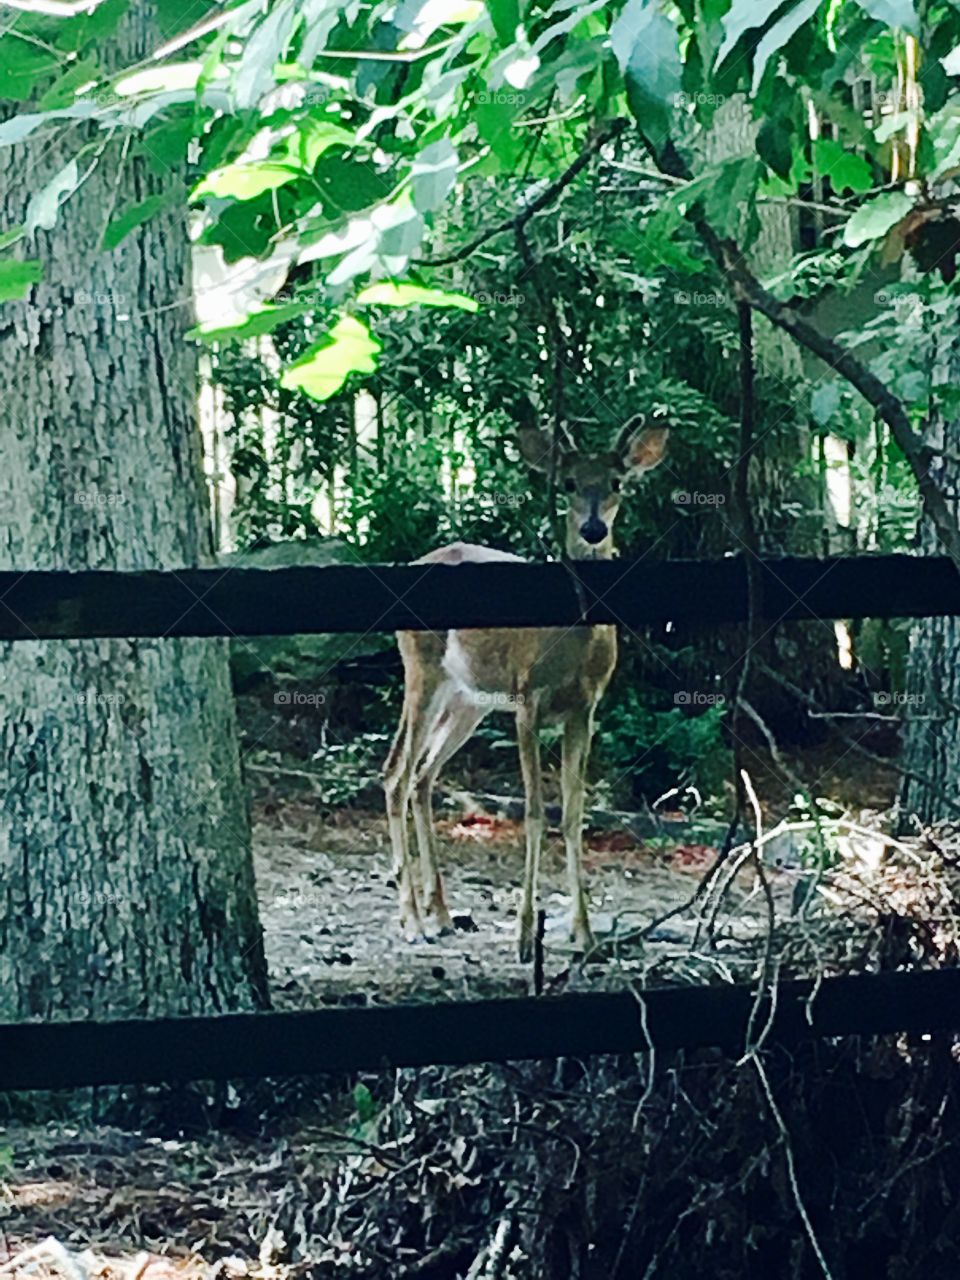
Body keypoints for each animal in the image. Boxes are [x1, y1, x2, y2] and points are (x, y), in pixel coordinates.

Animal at [383, 416, 669, 961]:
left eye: (618, 483)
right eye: (569, 484)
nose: (593, 530)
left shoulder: (585, 709)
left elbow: (574, 814)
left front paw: (585, 934)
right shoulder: (527, 701)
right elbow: (536, 812)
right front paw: (521, 936)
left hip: (467, 698)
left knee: (424, 776)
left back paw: (442, 914)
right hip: (422, 671)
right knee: (396, 773)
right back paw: (411, 921)